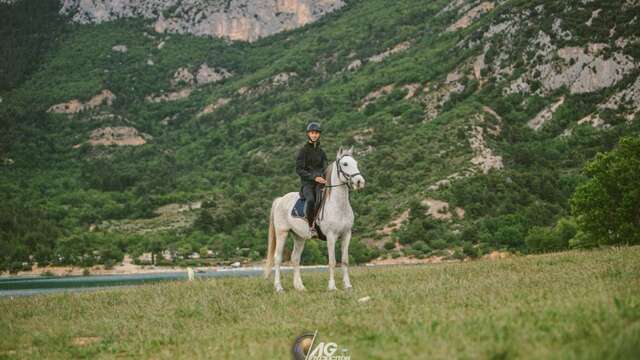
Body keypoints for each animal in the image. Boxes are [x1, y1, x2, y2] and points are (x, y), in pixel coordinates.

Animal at [264, 148, 364, 292]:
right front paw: (332, 287)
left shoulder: (346, 235)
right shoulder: (331, 236)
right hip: (282, 233)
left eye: (355, 163)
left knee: (295, 258)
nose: (360, 182)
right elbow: (332, 262)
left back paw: (300, 287)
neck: (338, 205)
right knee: (277, 258)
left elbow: (345, 260)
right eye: (345, 164)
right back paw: (279, 287)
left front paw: (348, 285)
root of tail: (280, 199)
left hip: (299, 237)